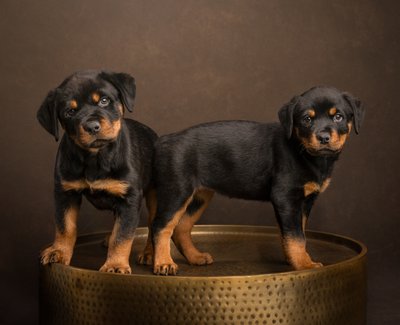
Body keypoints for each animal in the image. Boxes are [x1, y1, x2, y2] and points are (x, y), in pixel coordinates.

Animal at [37, 69, 156, 272]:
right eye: (70, 111)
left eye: (104, 101)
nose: (92, 126)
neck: (95, 158)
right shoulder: (65, 193)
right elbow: (65, 226)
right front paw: (58, 251)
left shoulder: (130, 198)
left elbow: (122, 235)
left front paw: (115, 265)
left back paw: (149, 253)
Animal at [147, 85, 366, 274]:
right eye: (306, 119)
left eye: (338, 117)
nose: (323, 138)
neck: (305, 152)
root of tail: (164, 140)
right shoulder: (285, 196)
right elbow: (296, 236)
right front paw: (304, 265)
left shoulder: (305, 201)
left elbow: (296, 232)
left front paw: (295, 259)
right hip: (177, 190)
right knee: (161, 226)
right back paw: (164, 263)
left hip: (199, 196)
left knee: (181, 227)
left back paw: (195, 257)